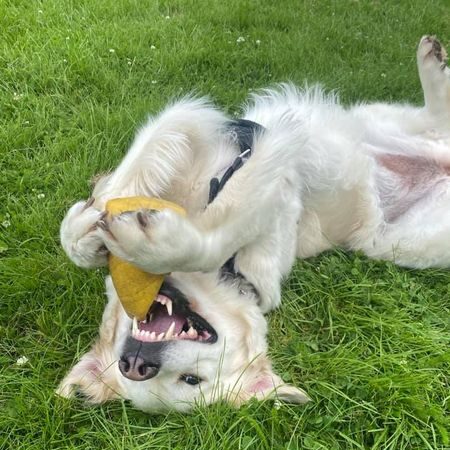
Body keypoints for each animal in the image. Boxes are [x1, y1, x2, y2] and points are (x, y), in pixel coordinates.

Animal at [58, 37, 448, 414]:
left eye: (191, 380)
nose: (137, 363)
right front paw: (98, 230)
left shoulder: (252, 168)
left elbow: (203, 223)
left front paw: (111, 228)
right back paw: (432, 61)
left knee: (434, 120)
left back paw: (432, 61)